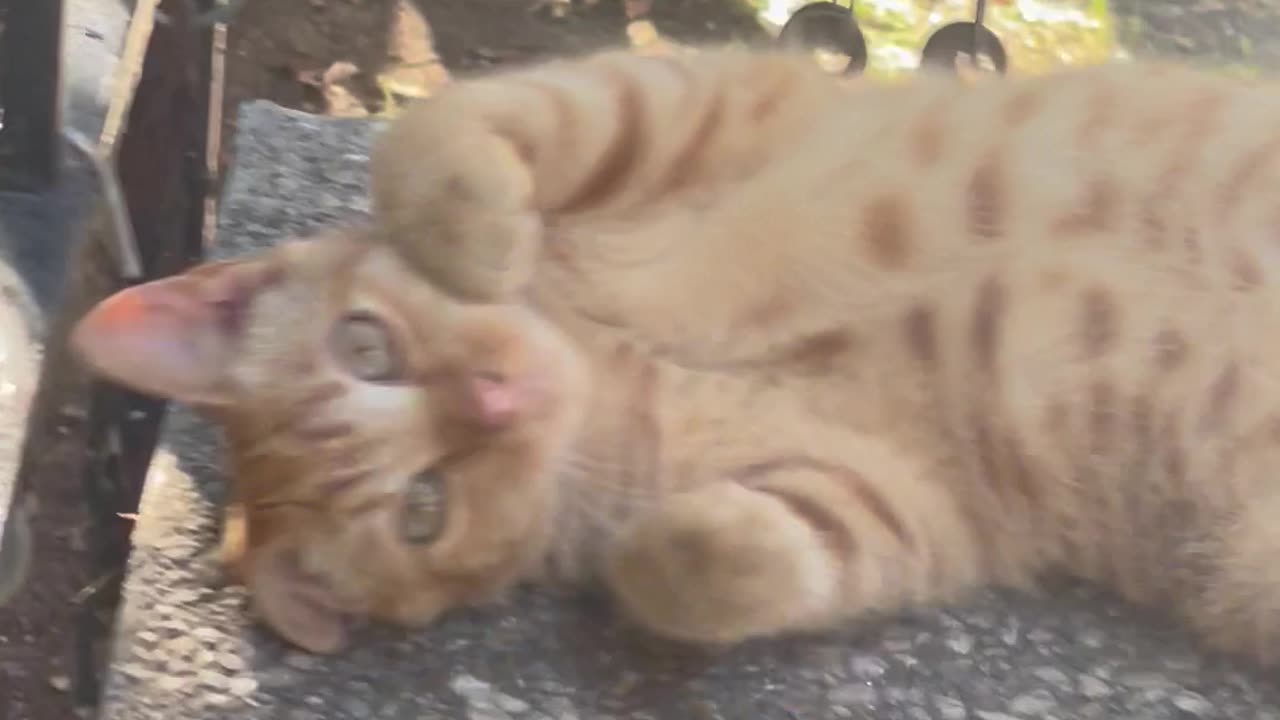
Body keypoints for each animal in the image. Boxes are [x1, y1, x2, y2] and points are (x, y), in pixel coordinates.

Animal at [72, 47, 1280, 661]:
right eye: (424, 507)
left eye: (366, 346)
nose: (496, 397)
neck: (632, 375)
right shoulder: (911, 499)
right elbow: (722, 566)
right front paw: (643, 556)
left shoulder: (705, 96)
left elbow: (433, 137)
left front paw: (483, 240)